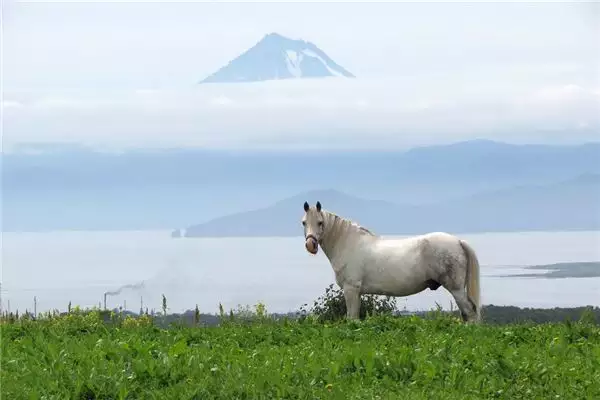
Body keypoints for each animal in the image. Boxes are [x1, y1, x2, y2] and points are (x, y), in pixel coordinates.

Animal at [302, 200, 480, 322]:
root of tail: (458, 241)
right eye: (304, 222)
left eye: (320, 222)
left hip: (456, 289)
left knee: (469, 312)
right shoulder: (357, 293)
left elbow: (351, 317)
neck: (348, 243)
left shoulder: (350, 289)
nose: (311, 245)